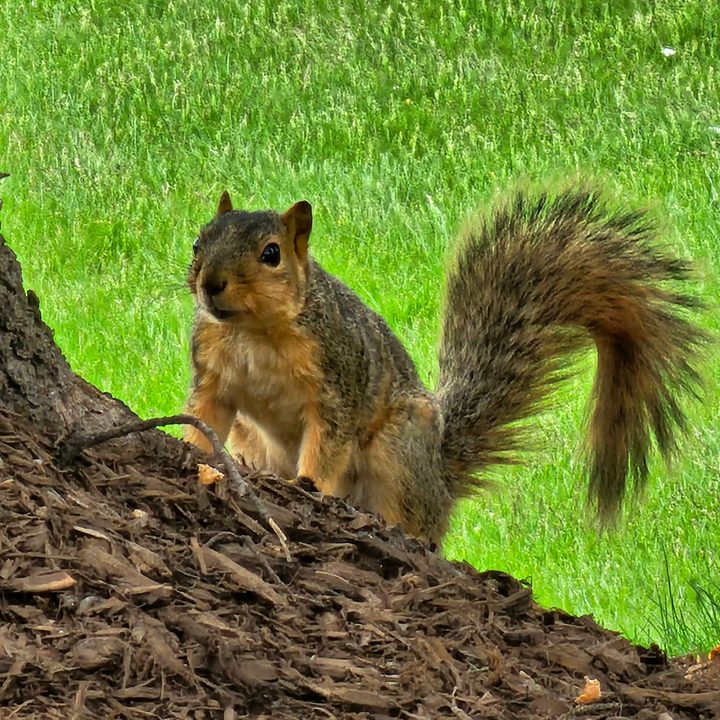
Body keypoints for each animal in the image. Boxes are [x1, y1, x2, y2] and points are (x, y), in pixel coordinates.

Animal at [184, 187, 706, 544]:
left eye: (271, 254)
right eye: (198, 242)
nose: (210, 283)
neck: (254, 332)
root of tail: (441, 478)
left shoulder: (338, 383)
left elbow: (326, 447)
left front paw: (309, 487)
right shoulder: (213, 376)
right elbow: (203, 416)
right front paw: (190, 451)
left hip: (398, 450)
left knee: (411, 519)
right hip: (251, 439)